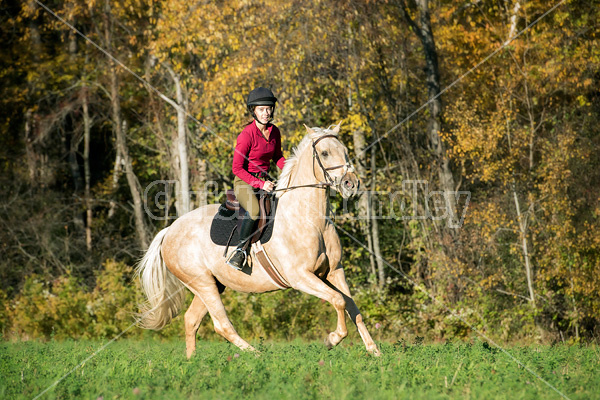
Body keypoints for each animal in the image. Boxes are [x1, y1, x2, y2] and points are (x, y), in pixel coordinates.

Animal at [136, 122, 380, 356]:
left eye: (345, 151)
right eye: (325, 153)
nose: (351, 184)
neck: (310, 218)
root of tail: (170, 230)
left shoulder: (335, 271)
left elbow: (352, 307)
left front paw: (374, 351)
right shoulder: (300, 277)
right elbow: (339, 300)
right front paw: (332, 339)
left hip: (213, 284)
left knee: (191, 320)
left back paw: (192, 361)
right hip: (202, 283)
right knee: (222, 325)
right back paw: (256, 355)